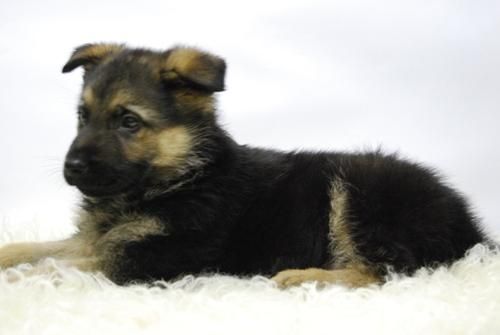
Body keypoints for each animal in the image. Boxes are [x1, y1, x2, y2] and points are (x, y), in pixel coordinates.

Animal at [0, 43, 488, 288]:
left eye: (128, 122)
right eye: (82, 116)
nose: (72, 168)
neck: (184, 176)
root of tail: (471, 227)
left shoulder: (156, 260)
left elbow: (59, 267)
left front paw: (28, 280)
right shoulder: (95, 241)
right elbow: (39, 248)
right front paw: (11, 256)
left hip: (363, 195)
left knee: (386, 272)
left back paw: (302, 277)